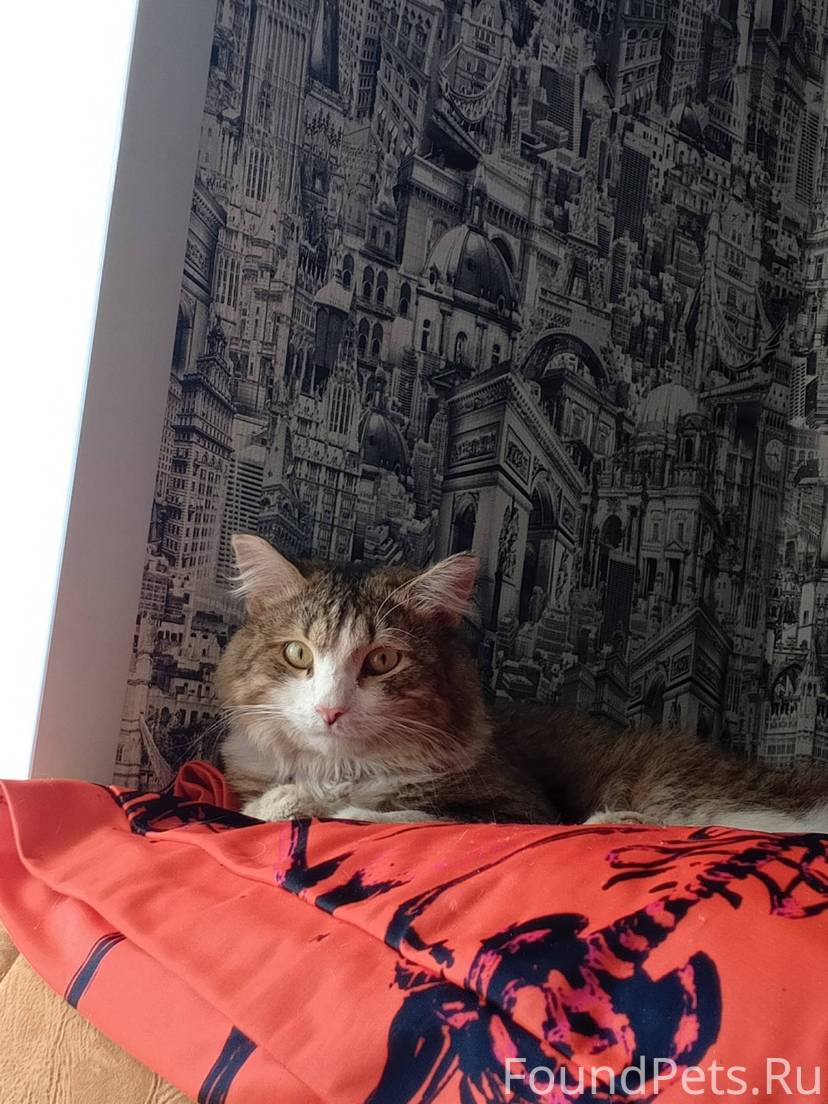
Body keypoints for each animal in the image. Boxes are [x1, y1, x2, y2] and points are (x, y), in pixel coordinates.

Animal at [217, 535, 828, 833]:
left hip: (677, 790)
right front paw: (285, 800)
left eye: (383, 659)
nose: (331, 711)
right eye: (298, 654)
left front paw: (311, 805)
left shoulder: (521, 808)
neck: (339, 766)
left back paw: (617, 821)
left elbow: (394, 813)